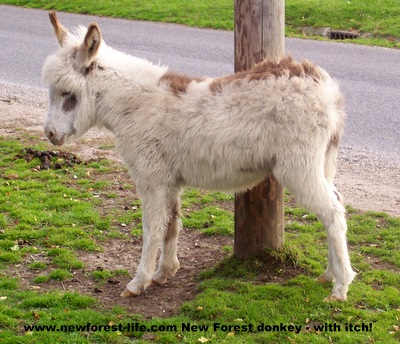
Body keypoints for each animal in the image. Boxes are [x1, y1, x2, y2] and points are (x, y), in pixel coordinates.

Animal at [43, 12, 356, 300]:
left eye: (67, 93)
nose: (49, 134)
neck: (134, 106)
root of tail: (326, 89)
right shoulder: (170, 181)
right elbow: (171, 224)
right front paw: (164, 273)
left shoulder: (151, 179)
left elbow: (152, 229)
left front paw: (138, 282)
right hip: (323, 162)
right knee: (337, 203)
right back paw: (330, 274)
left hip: (298, 167)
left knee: (332, 212)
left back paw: (341, 288)